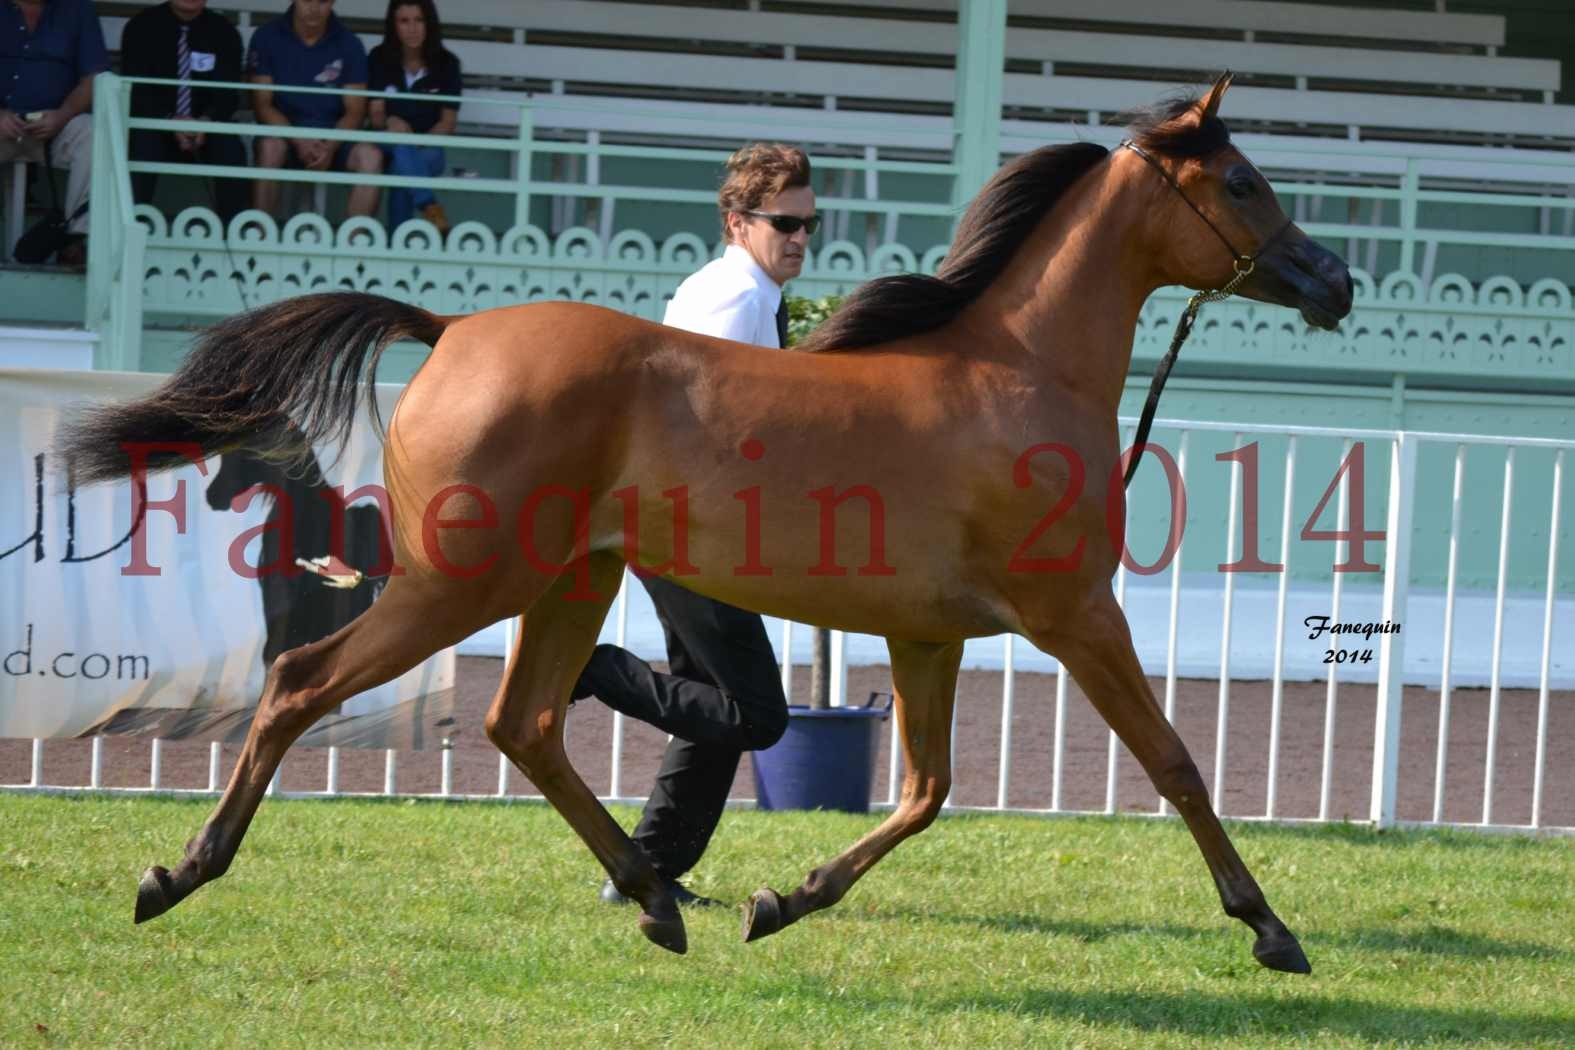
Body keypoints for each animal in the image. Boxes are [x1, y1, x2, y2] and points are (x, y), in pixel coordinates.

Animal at [55, 75, 1348, 976]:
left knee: (526, 721)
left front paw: (785, 900)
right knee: (304, 681)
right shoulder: (1076, 612)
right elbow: (1174, 763)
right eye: (1242, 182)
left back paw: (659, 899)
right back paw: (179, 873)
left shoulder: (931, 636)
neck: (1016, 373)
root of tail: (454, 328)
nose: (1330, 279)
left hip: (565, 583)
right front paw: (1272, 929)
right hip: (461, 584)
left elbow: (924, 791)